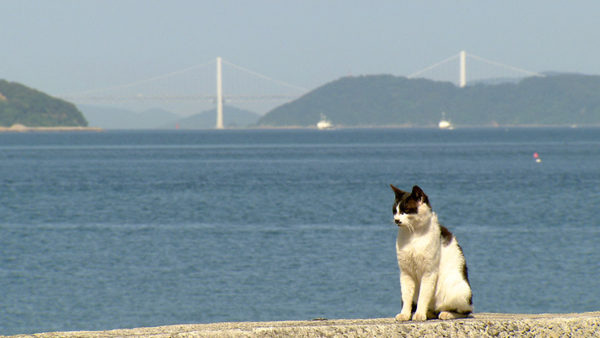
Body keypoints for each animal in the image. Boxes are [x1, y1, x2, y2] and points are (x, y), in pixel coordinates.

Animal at [390, 184, 474, 320]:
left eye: (406, 210)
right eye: (394, 211)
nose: (396, 220)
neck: (413, 234)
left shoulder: (429, 272)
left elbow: (424, 296)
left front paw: (419, 314)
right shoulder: (406, 272)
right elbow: (406, 296)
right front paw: (405, 314)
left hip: (457, 289)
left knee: (465, 312)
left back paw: (446, 313)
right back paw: (429, 313)